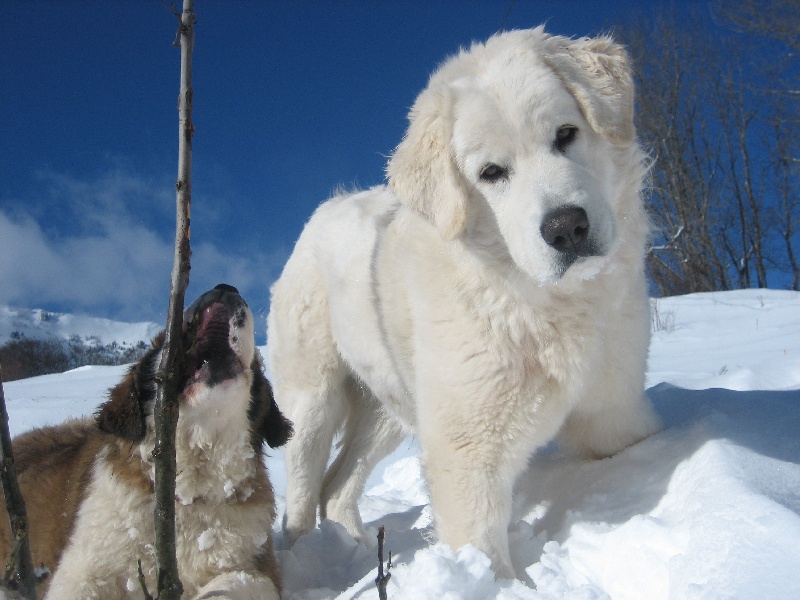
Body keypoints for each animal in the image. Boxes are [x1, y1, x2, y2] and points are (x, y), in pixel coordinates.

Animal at [0, 284, 294, 600]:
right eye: (161, 340)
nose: (224, 288)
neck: (182, 498)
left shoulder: (255, 569)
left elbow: (234, 583)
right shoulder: (82, 573)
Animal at [266, 27, 660, 576]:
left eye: (566, 134)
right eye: (491, 172)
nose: (567, 228)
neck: (540, 301)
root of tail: (327, 206)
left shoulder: (614, 410)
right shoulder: (468, 450)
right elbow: (483, 553)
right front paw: (493, 581)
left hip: (388, 407)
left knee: (337, 488)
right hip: (312, 403)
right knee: (303, 492)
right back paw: (307, 557)